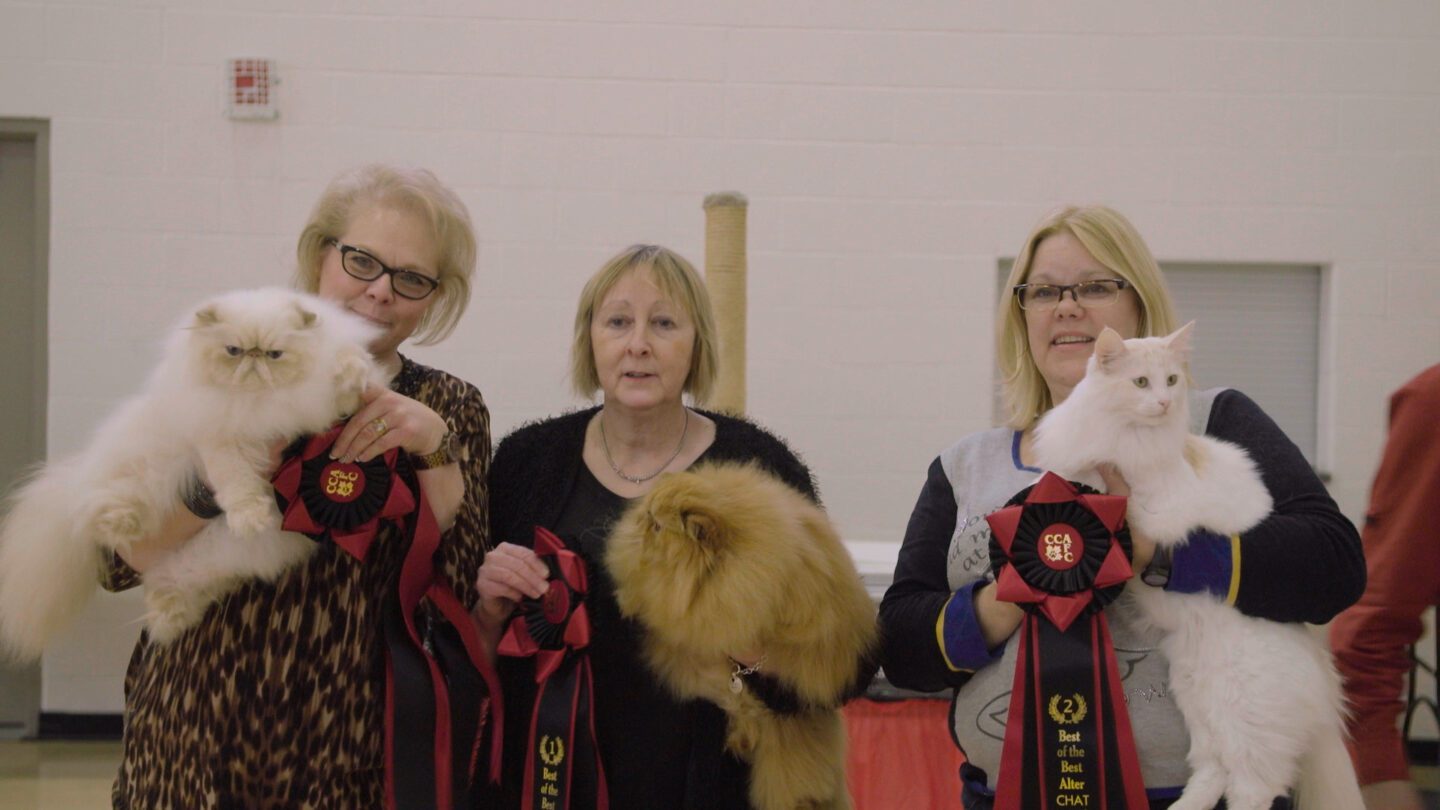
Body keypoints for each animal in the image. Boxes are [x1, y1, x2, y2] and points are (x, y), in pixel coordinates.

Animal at [0, 286, 385, 651]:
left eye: (275, 354)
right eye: (233, 350)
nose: (253, 357)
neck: (258, 402)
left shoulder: (323, 405)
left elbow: (347, 372)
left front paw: (351, 374)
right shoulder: (219, 441)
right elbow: (237, 484)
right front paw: (250, 519)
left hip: (205, 565)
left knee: (173, 586)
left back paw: (168, 617)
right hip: (139, 475)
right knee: (105, 506)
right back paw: (121, 525)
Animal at [1036, 321, 1359, 807]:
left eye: (1171, 380)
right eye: (1140, 383)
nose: (1164, 402)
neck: (1125, 433)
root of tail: (1318, 667)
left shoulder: (1156, 505)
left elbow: (1117, 500)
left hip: (1244, 715)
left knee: (1253, 786)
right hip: (1197, 698)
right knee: (1213, 772)